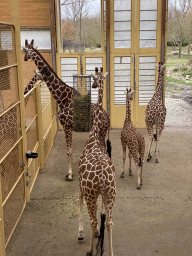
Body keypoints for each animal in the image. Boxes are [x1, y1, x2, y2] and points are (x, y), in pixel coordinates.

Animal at [22, 39, 110, 181]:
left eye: (25, 50)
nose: (24, 58)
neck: (61, 97)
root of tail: (107, 117)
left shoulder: (66, 125)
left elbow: (69, 151)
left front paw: (69, 174)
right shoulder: (68, 126)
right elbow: (69, 150)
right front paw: (70, 172)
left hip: (101, 132)